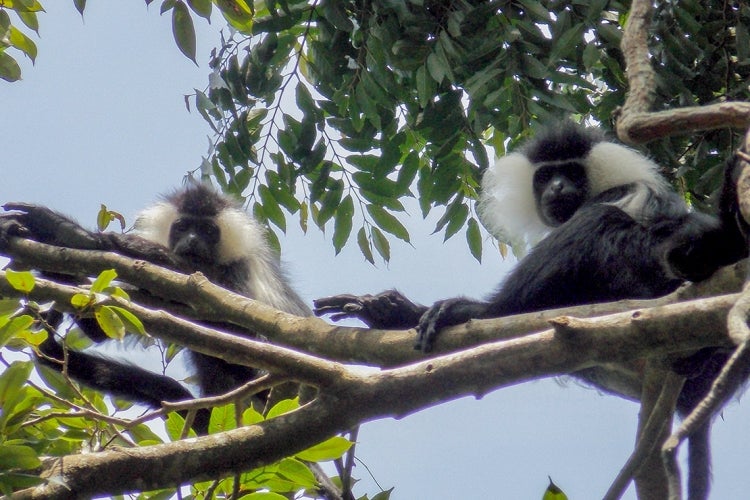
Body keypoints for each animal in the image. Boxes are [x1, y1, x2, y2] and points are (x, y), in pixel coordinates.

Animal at [313, 123, 749, 499]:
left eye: (570, 173)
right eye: (545, 177)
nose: (557, 186)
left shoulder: (622, 195)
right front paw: (386, 310)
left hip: (647, 274)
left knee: (596, 225)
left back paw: (476, 311)